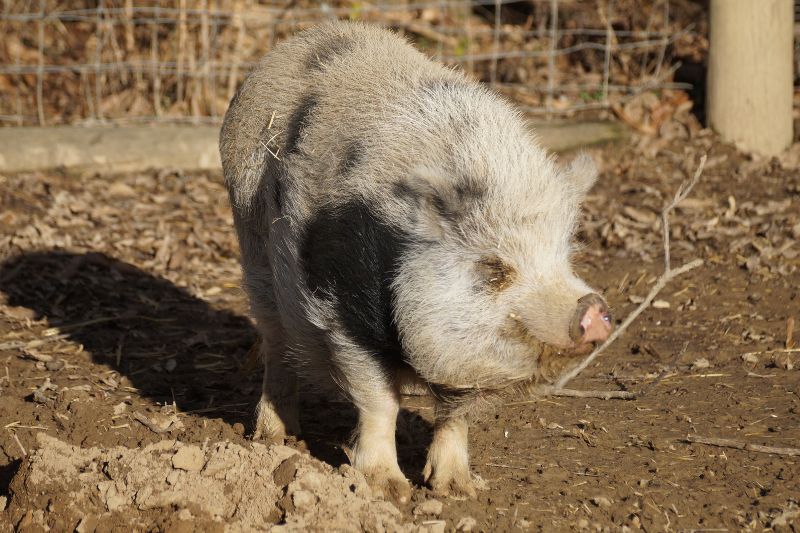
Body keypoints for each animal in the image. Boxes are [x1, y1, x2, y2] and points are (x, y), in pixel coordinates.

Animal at [219, 21, 612, 502]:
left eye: (565, 257)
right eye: (494, 268)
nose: (592, 308)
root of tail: (294, 44)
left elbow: (456, 414)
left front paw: (459, 490)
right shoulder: (343, 310)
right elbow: (381, 400)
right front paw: (388, 489)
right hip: (251, 237)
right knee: (276, 345)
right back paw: (276, 438)